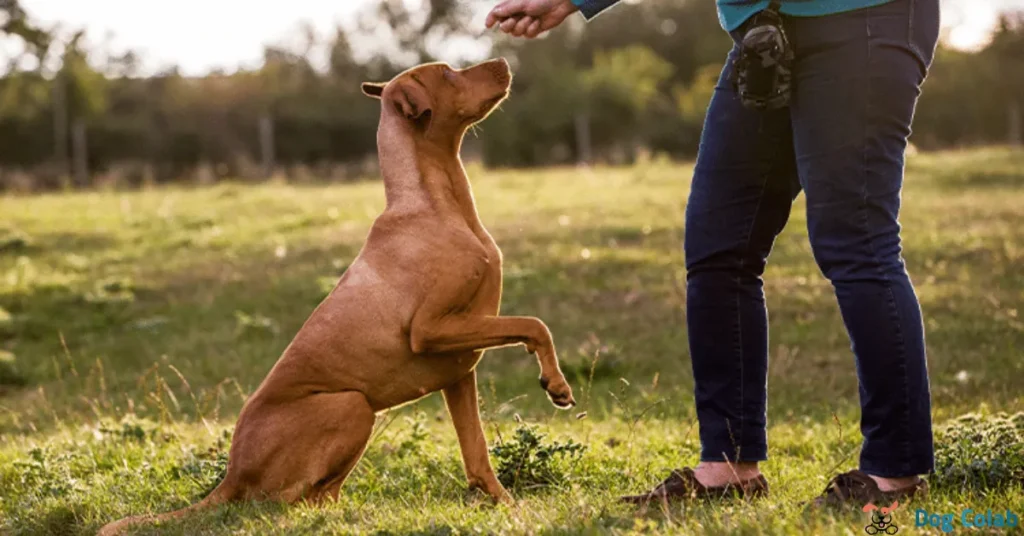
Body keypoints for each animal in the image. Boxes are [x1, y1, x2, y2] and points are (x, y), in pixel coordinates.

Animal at [100, 58, 577, 536]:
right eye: (447, 73)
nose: (503, 62)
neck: (434, 204)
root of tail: (231, 474)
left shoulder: (459, 368)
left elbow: (477, 454)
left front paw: (508, 506)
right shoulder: (430, 330)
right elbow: (535, 324)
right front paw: (555, 383)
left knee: (319, 495)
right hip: (352, 405)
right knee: (287, 504)